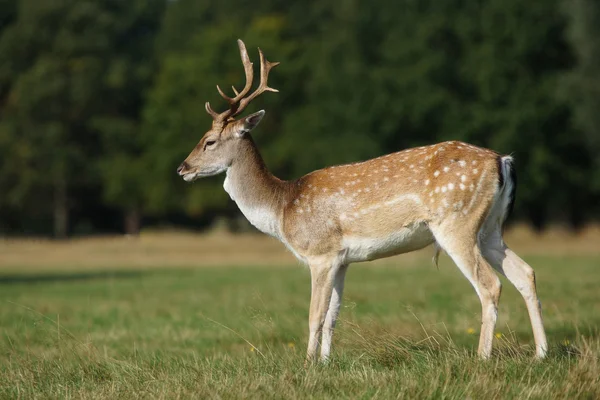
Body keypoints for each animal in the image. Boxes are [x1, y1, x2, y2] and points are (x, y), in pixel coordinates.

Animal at [176, 39, 548, 360]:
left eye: (209, 141)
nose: (182, 168)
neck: (282, 206)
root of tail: (503, 160)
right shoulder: (342, 259)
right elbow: (333, 315)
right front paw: (325, 363)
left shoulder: (321, 253)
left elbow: (314, 314)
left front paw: (307, 364)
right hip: (490, 228)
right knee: (526, 273)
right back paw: (540, 354)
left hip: (456, 223)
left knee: (490, 284)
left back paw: (482, 357)